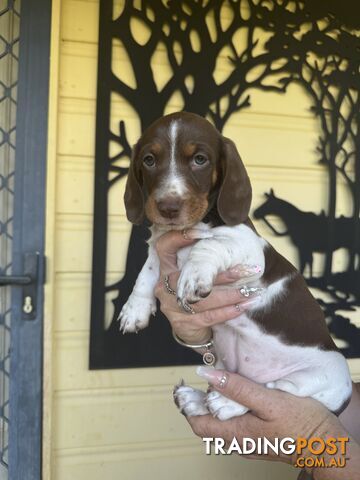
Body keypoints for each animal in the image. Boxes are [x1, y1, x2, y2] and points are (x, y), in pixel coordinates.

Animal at [119, 110, 352, 418]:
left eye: (200, 159)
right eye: (149, 160)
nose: (168, 208)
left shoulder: (250, 249)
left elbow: (209, 244)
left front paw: (193, 275)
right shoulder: (159, 246)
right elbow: (146, 272)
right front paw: (135, 309)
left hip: (325, 375)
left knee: (271, 390)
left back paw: (225, 402)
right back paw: (194, 399)